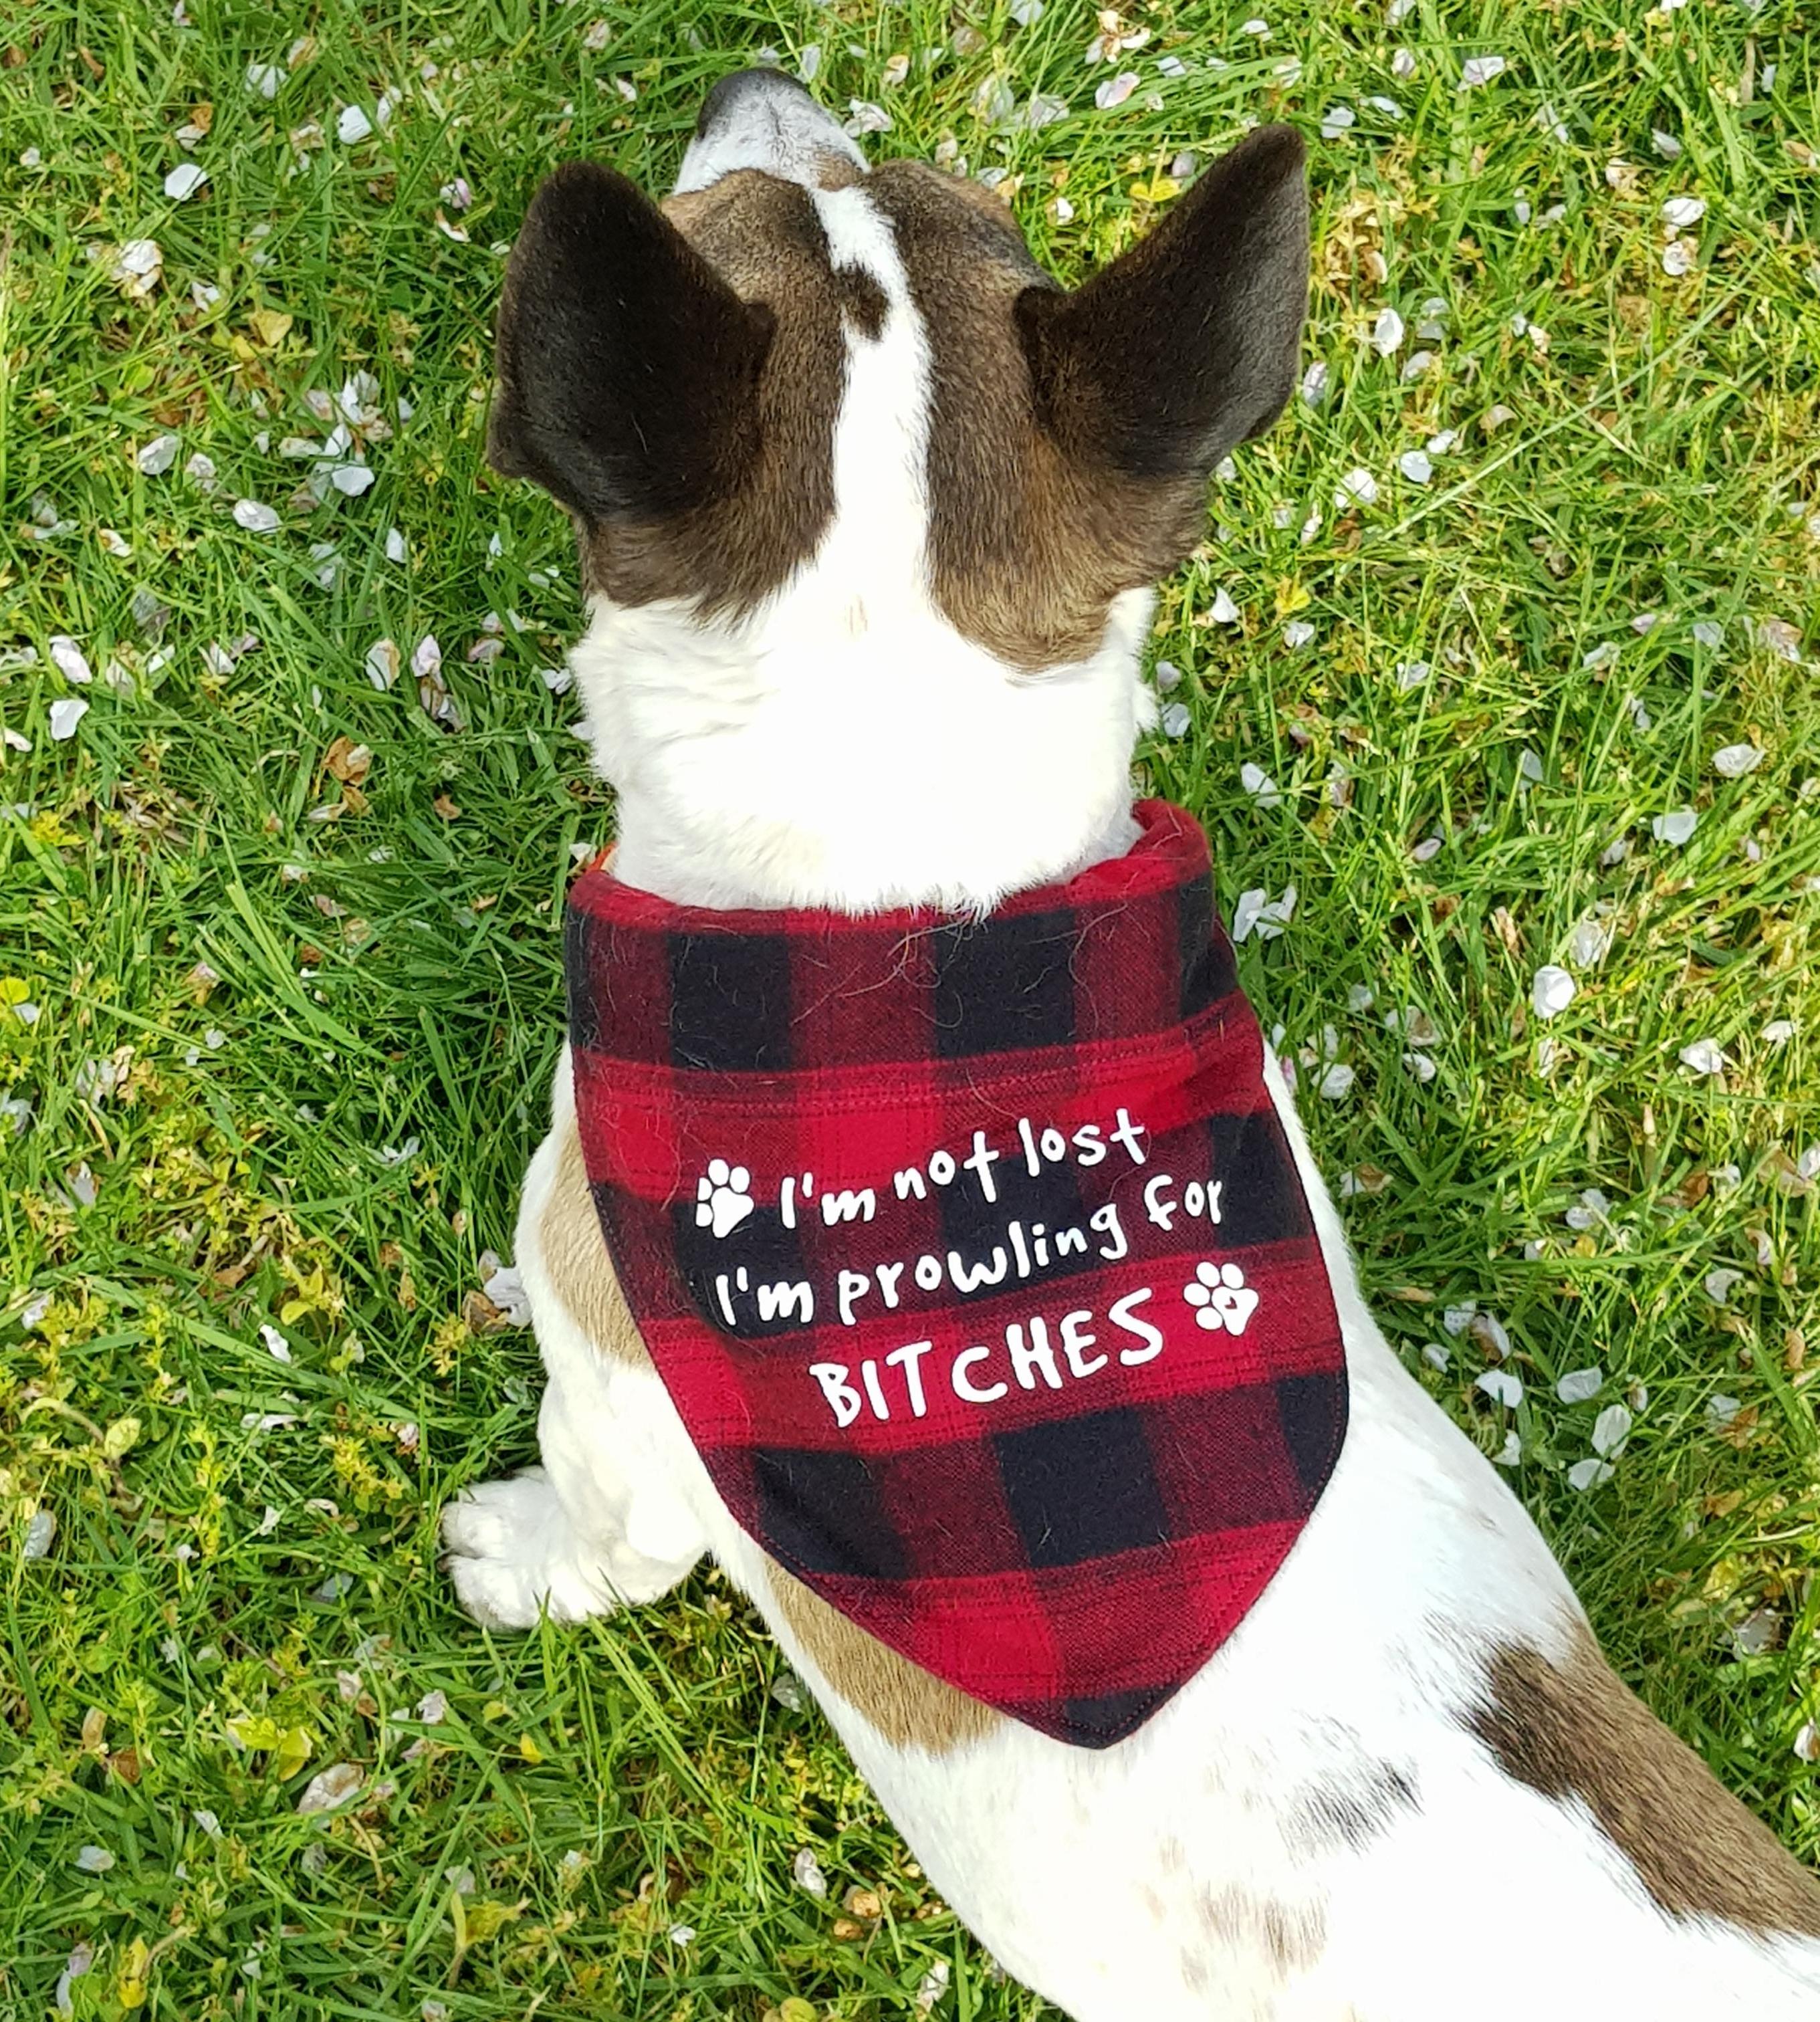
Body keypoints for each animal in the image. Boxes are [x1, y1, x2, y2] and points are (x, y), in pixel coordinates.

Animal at [445, 71, 1820, 2013]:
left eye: (728, 212)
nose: (758, 83)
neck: (918, 918)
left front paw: (511, 1557)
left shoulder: (616, 1389)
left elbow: (596, 1533)